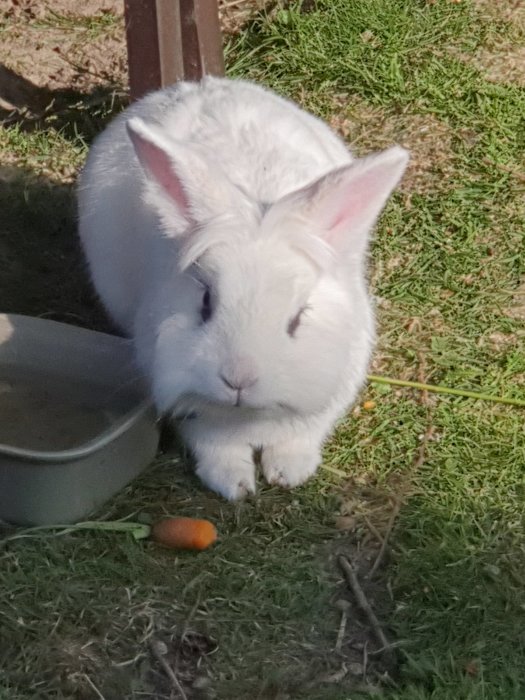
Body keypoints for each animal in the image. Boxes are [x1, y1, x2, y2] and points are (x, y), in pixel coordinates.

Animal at [78, 76, 408, 500]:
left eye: (298, 318)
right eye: (205, 303)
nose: (238, 379)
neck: (251, 416)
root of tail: (197, 84)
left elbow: (301, 435)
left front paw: (290, 472)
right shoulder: (191, 402)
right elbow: (216, 444)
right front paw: (233, 485)